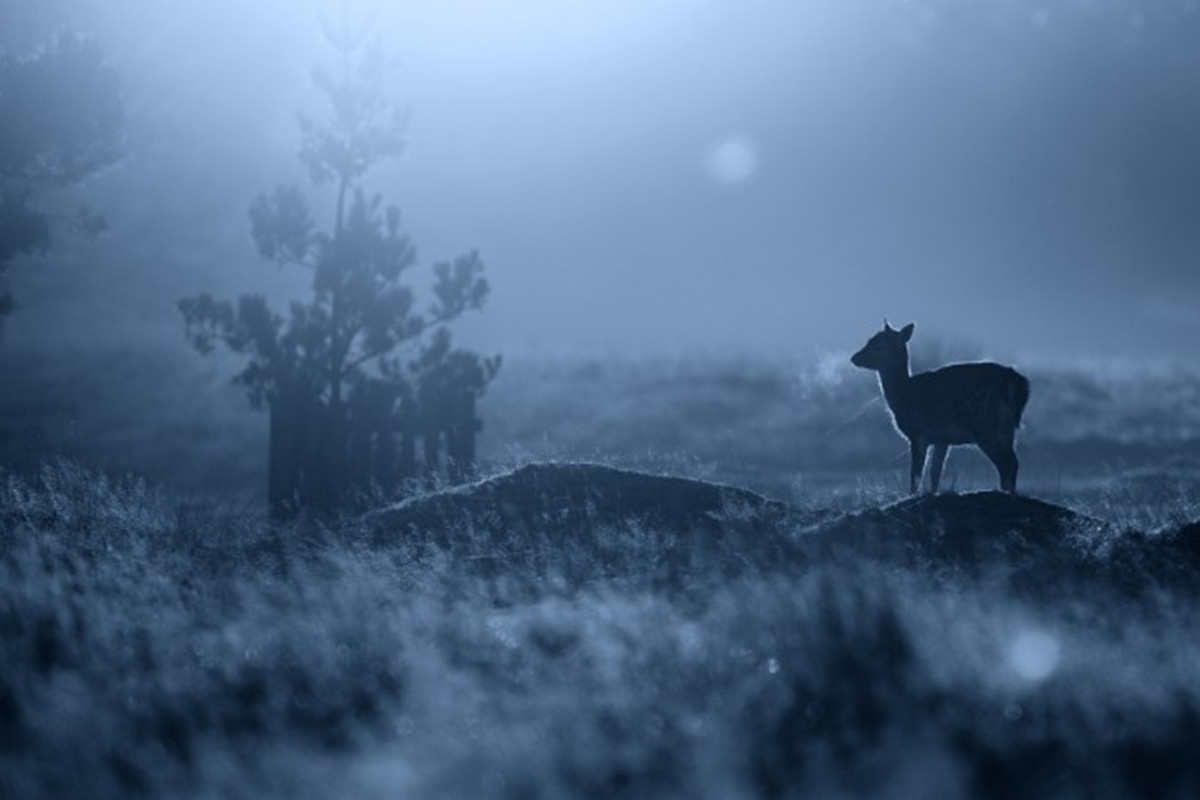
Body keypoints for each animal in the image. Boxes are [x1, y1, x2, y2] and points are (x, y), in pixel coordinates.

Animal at [844, 321, 1032, 491]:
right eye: (870, 340)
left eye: (879, 345)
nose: (854, 358)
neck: (903, 394)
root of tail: (1015, 381)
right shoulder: (942, 439)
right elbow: (935, 473)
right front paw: (933, 493)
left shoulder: (918, 433)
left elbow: (915, 476)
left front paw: (913, 495)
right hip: (1007, 428)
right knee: (1013, 462)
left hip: (986, 425)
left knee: (1007, 463)